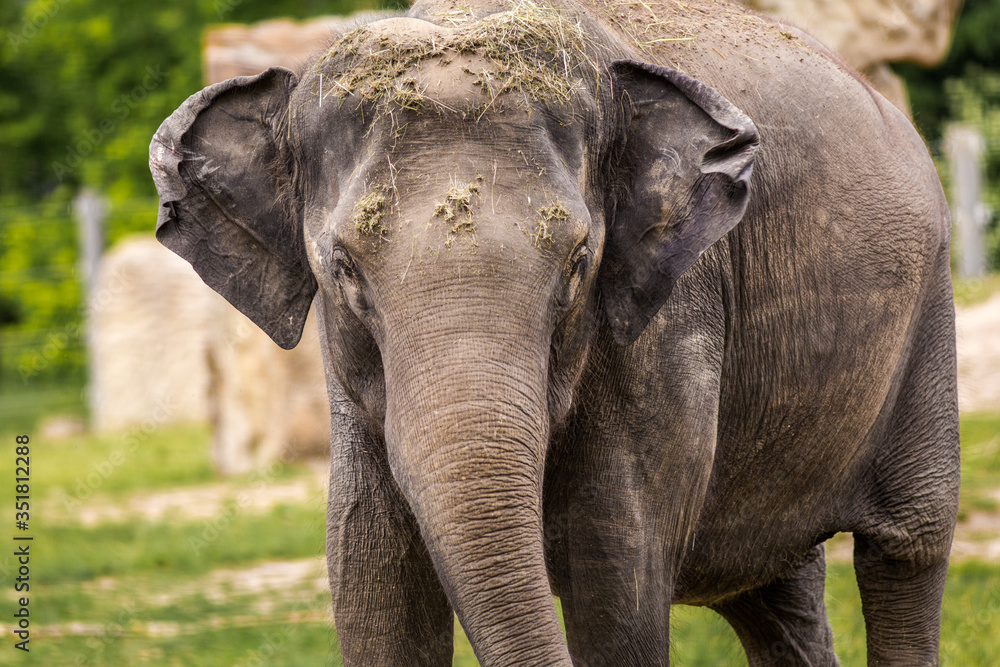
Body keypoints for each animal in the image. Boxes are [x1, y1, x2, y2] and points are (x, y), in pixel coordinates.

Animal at [149, 0, 959, 664]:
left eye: (577, 262)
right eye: (343, 268)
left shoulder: (669, 323)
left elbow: (618, 582)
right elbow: (372, 582)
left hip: (929, 312)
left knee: (906, 551)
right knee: (773, 594)